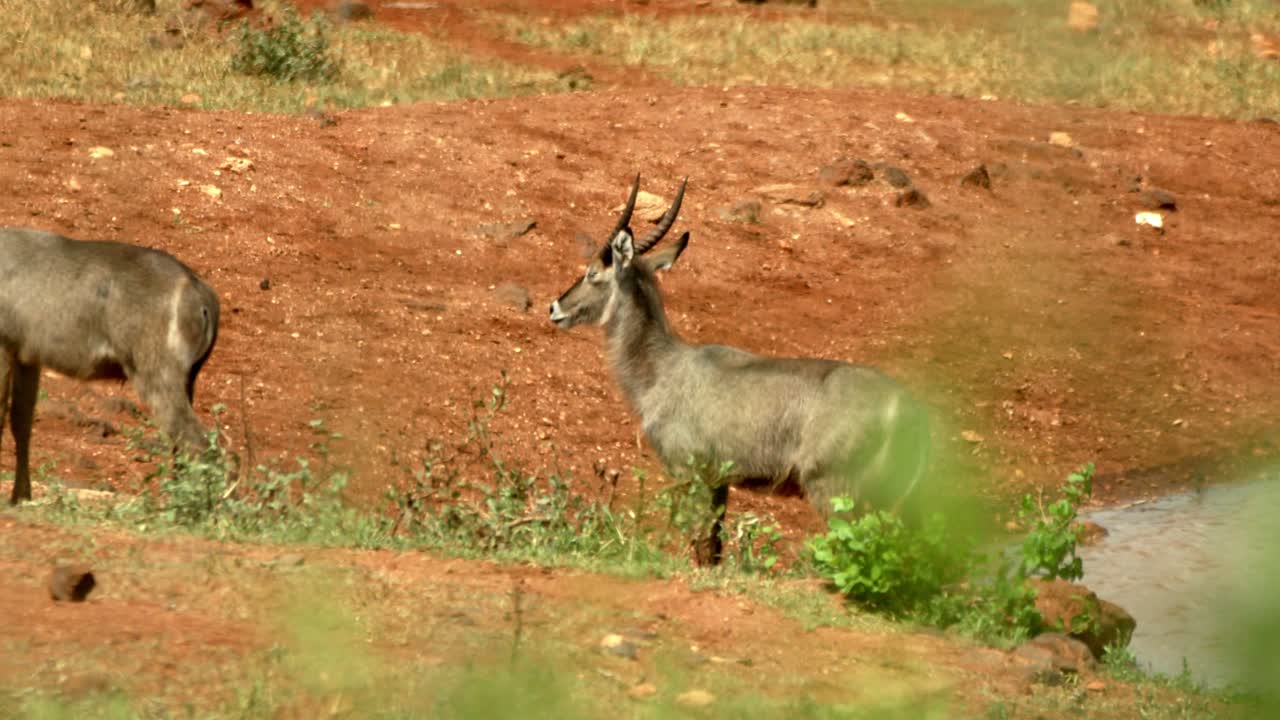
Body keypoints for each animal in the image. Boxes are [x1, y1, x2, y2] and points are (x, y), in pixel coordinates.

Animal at [0, 227, 220, 504]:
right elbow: (21, 423)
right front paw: (20, 498)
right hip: (187, 380)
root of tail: (200, 291)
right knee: (183, 447)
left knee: (198, 443)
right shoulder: (26, 357)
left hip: (156, 377)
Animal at [549, 176, 930, 564]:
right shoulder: (719, 481)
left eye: (592, 272)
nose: (555, 308)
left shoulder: (690, 472)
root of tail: (907, 408)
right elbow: (714, 548)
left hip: (834, 489)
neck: (663, 368)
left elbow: (698, 541)